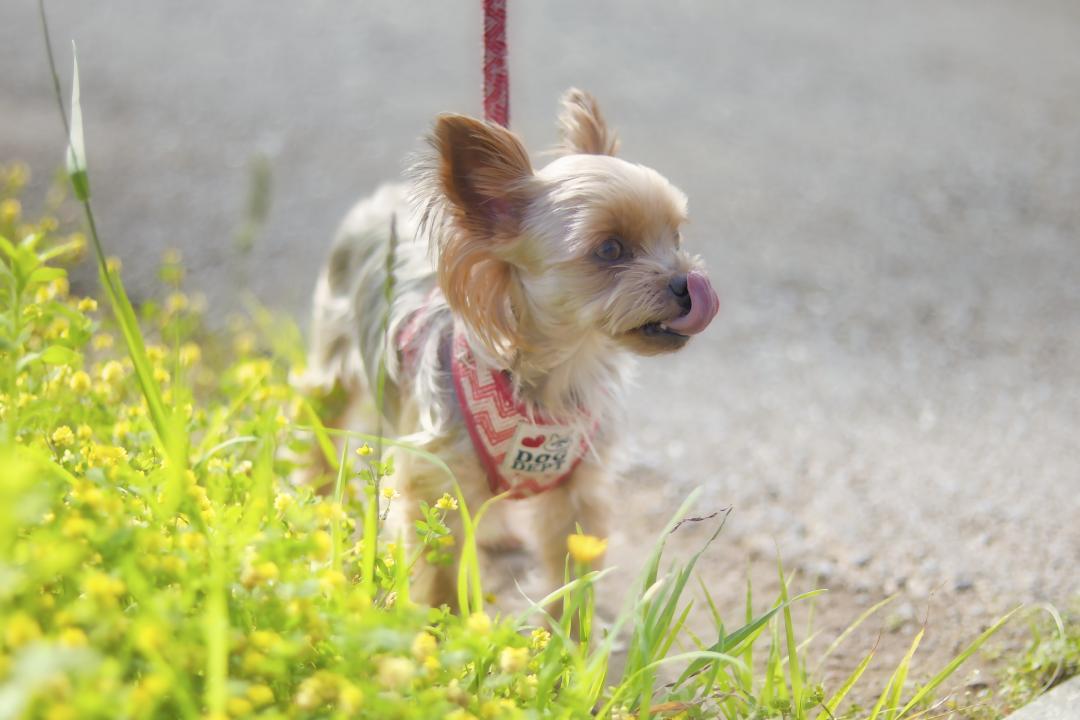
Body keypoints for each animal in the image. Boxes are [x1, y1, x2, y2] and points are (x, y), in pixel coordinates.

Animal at [302, 90, 717, 608]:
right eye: (610, 249)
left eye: (675, 237)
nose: (689, 284)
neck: (561, 370)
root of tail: (380, 198)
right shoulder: (437, 481)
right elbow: (442, 574)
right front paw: (443, 624)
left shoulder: (576, 491)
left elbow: (569, 576)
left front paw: (571, 630)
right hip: (333, 359)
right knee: (319, 415)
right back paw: (318, 500)